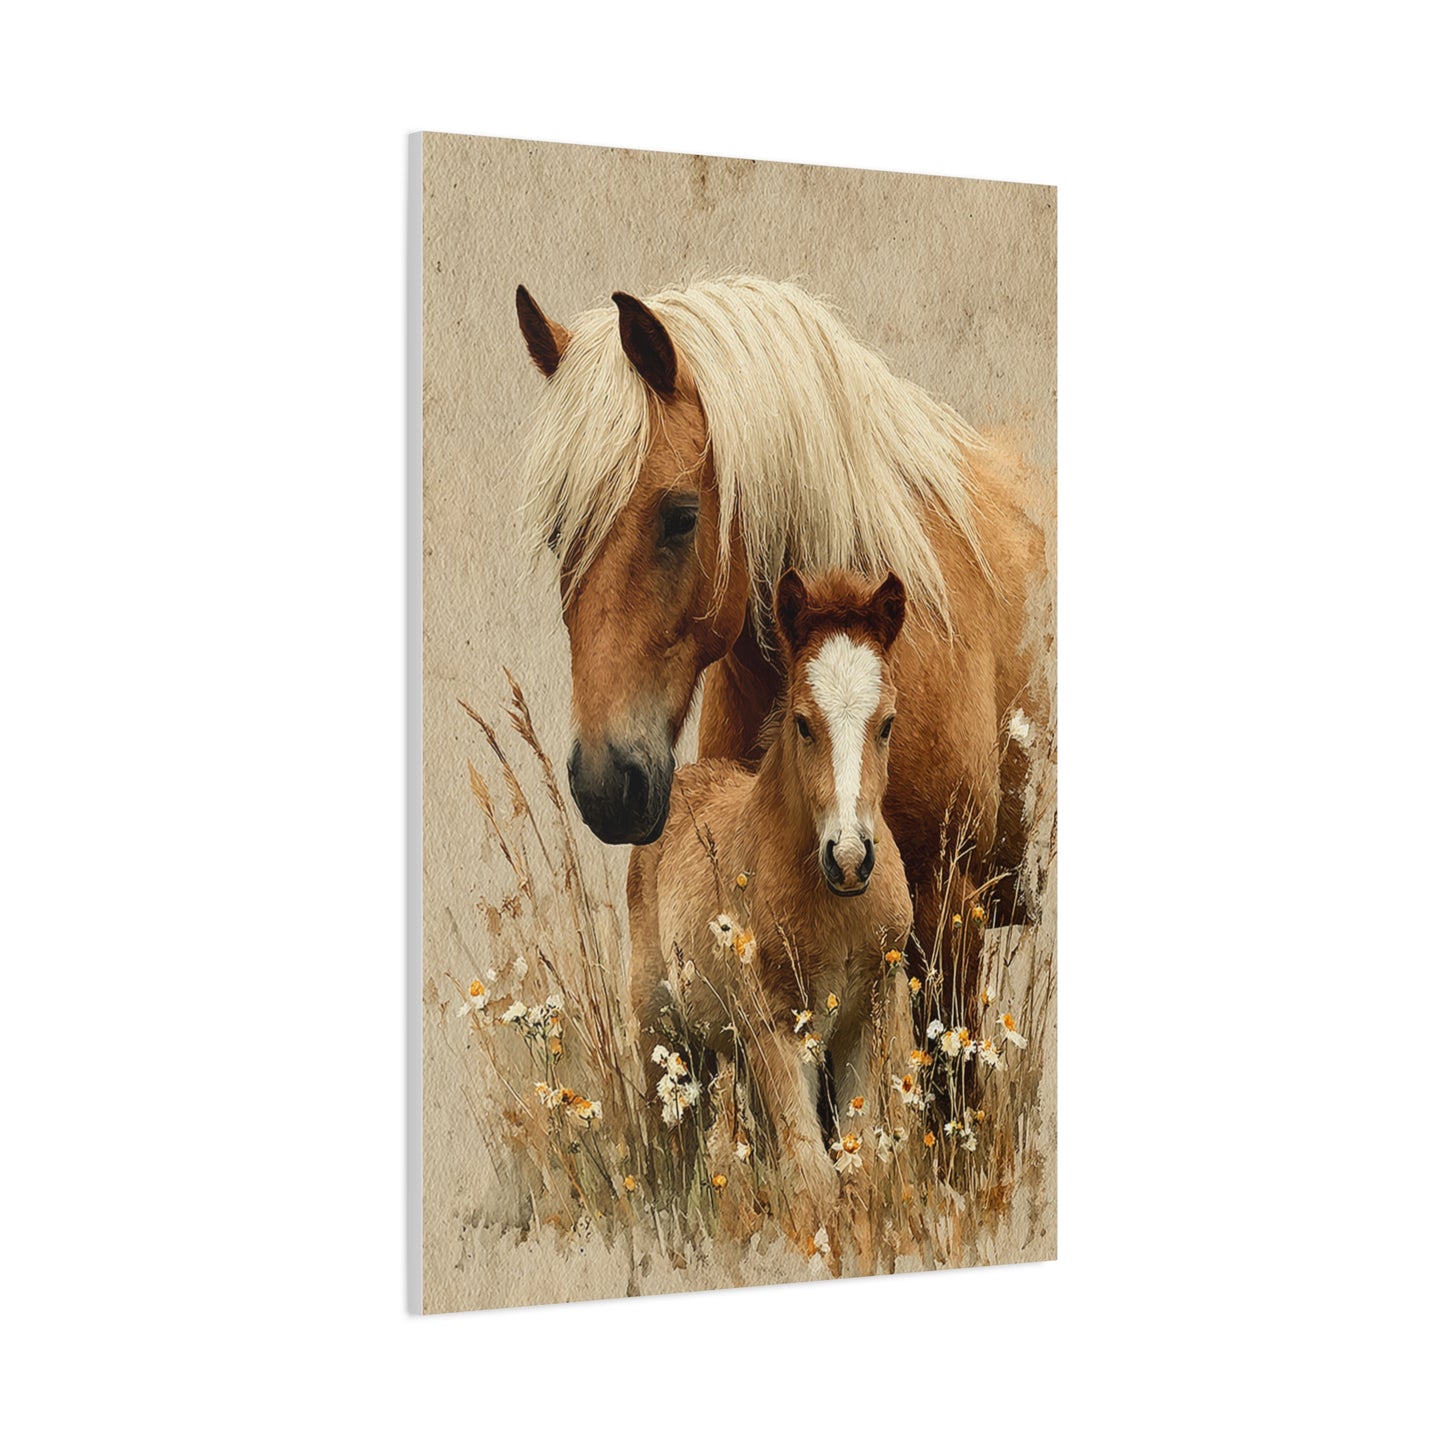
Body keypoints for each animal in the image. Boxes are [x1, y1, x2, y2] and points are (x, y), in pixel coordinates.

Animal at [627, 568, 914, 1221]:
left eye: (887, 723)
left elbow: (865, 1168)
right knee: (675, 1141)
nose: (850, 859)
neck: (836, 911)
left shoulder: (870, 1016)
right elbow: (813, 1179)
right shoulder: (774, 1028)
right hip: (661, 1027)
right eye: (803, 722)